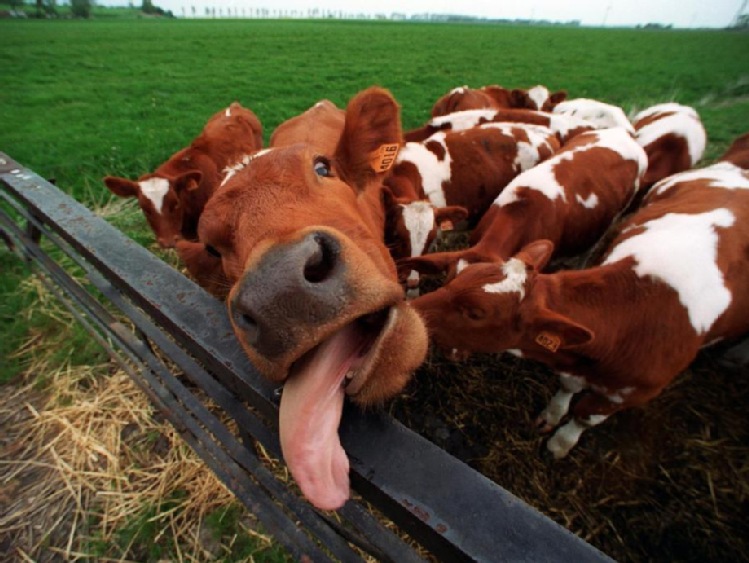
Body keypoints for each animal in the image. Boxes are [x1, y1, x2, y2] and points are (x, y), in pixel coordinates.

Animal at [410, 159, 748, 458]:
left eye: (476, 312)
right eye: (449, 281)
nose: (412, 310)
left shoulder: (634, 392)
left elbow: (585, 416)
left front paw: (561, 443)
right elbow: (568, 385)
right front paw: (552, 414)